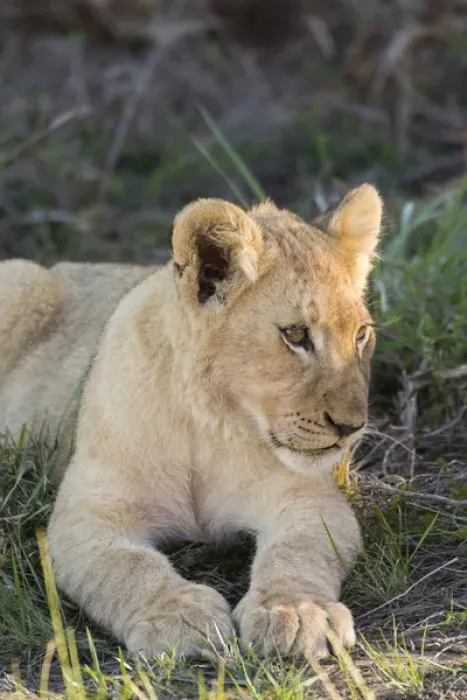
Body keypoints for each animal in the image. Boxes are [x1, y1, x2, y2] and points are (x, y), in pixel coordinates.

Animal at [0, 184, 383, 659]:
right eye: (295, 335)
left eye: (361, 334)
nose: (351, 426)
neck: (210, 419)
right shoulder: (87, 514)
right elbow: (127, 567)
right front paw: (177, 617)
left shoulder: (306, 498)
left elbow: (300, 551)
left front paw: (295, 611)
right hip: (20, 280)